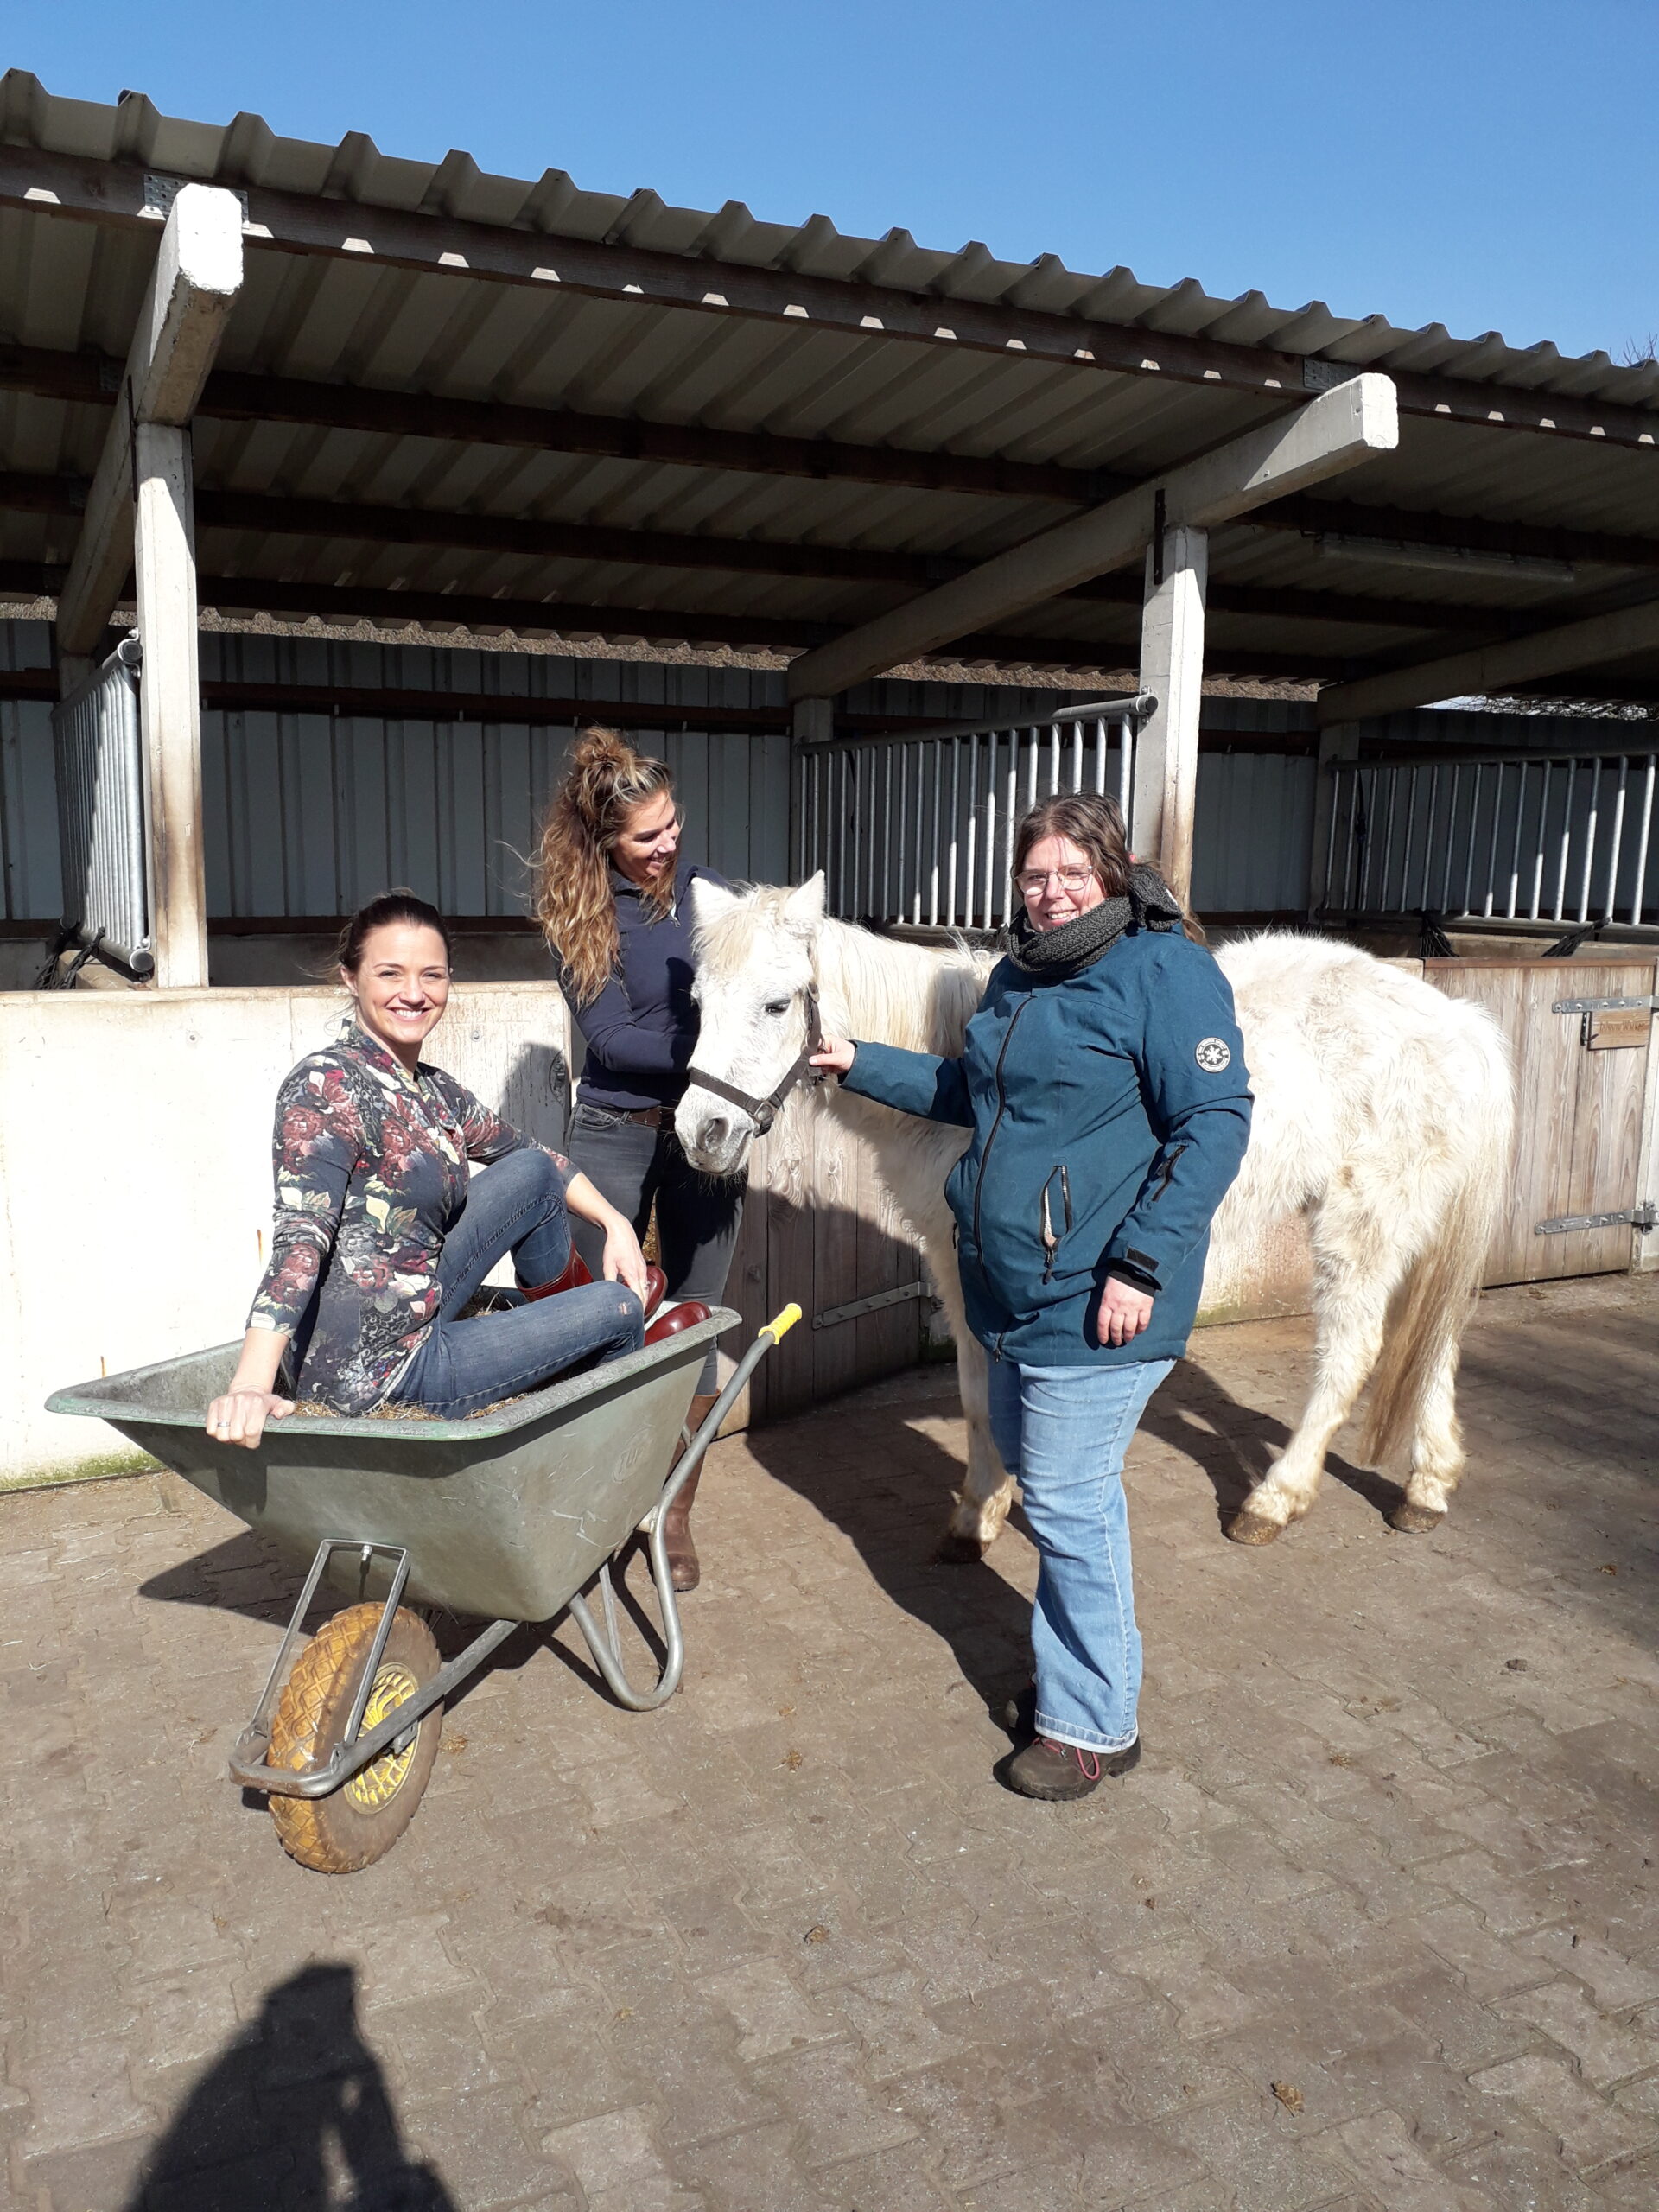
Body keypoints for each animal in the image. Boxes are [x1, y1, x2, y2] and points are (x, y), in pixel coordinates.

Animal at [677, 875, 1522, 1557]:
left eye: (777, 1004)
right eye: (699, 1004)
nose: (700, 1134)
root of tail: (1458, 1022)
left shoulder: (972, 1265)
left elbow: (984, 1389)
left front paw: (980, 1514)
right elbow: (984, 1390)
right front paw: (991, 1504)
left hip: (1360, 1226)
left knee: (1352, 1352)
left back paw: (1274, 1502)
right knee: (1435, 1337)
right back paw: (1427, 1486)